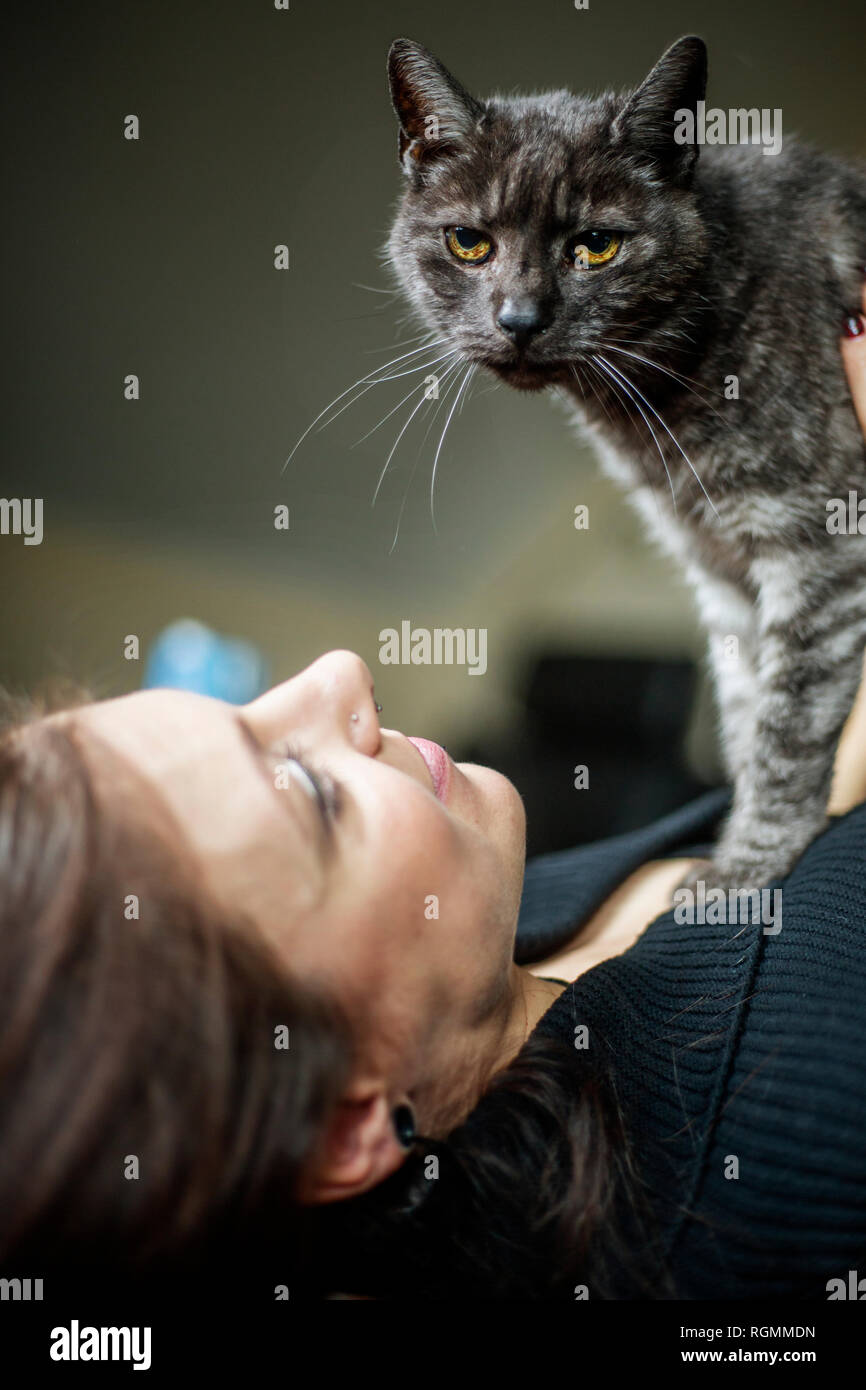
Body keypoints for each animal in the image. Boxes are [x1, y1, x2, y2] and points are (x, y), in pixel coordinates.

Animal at [389, 38, 866, 895]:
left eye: (597, 245)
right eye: (469, 242)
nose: (519, 319)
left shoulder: (822, 545)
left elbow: (789, 723)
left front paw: (744, 873)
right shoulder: (724, 572)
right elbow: (746, 710)